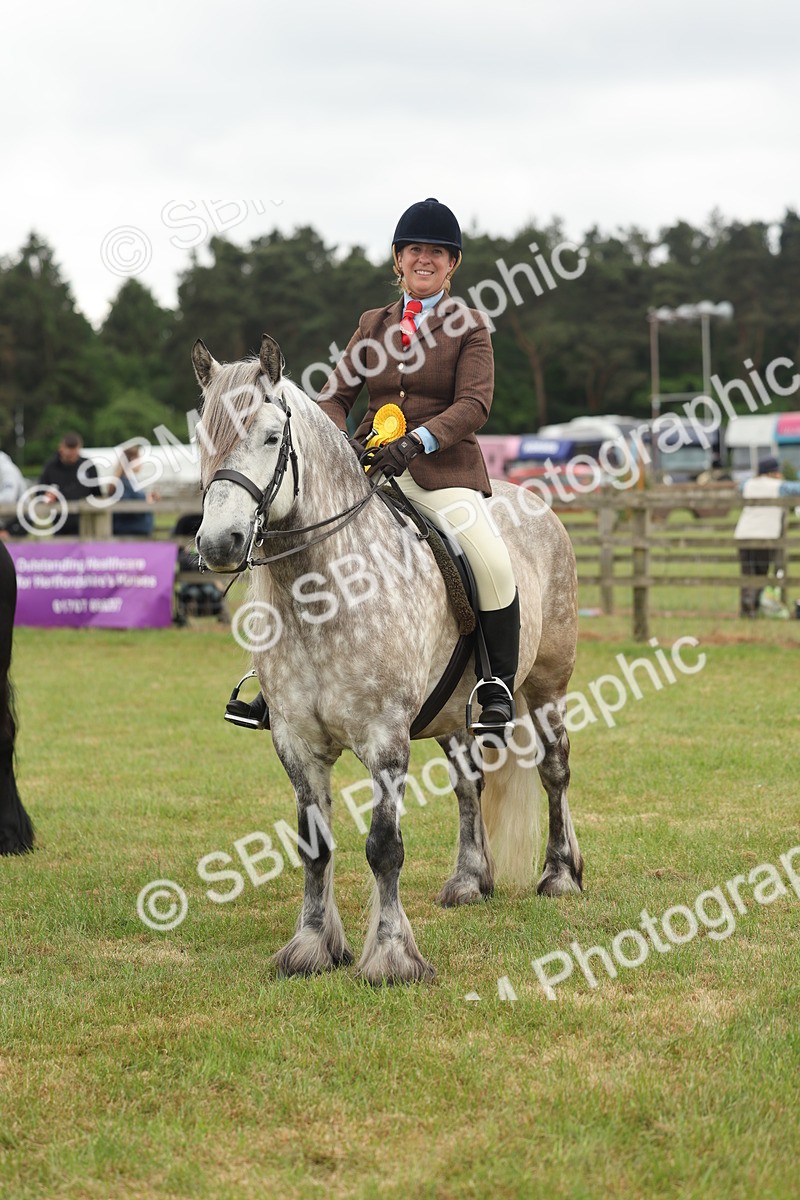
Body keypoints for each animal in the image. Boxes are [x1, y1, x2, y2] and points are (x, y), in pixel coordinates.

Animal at [192, 334, 583, 984]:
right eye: (202, 437)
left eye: (272, 437)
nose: (219, 544)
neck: (322, 595)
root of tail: (531, 500)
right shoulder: (296, 743)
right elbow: (314, 845)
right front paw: (311, 947)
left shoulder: (385, 740)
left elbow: (384, 848)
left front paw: (393, 957)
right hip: (453, 711)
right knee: (470, 784)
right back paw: (469, 880)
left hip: (547, 685)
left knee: (554, 769)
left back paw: (559, 875)